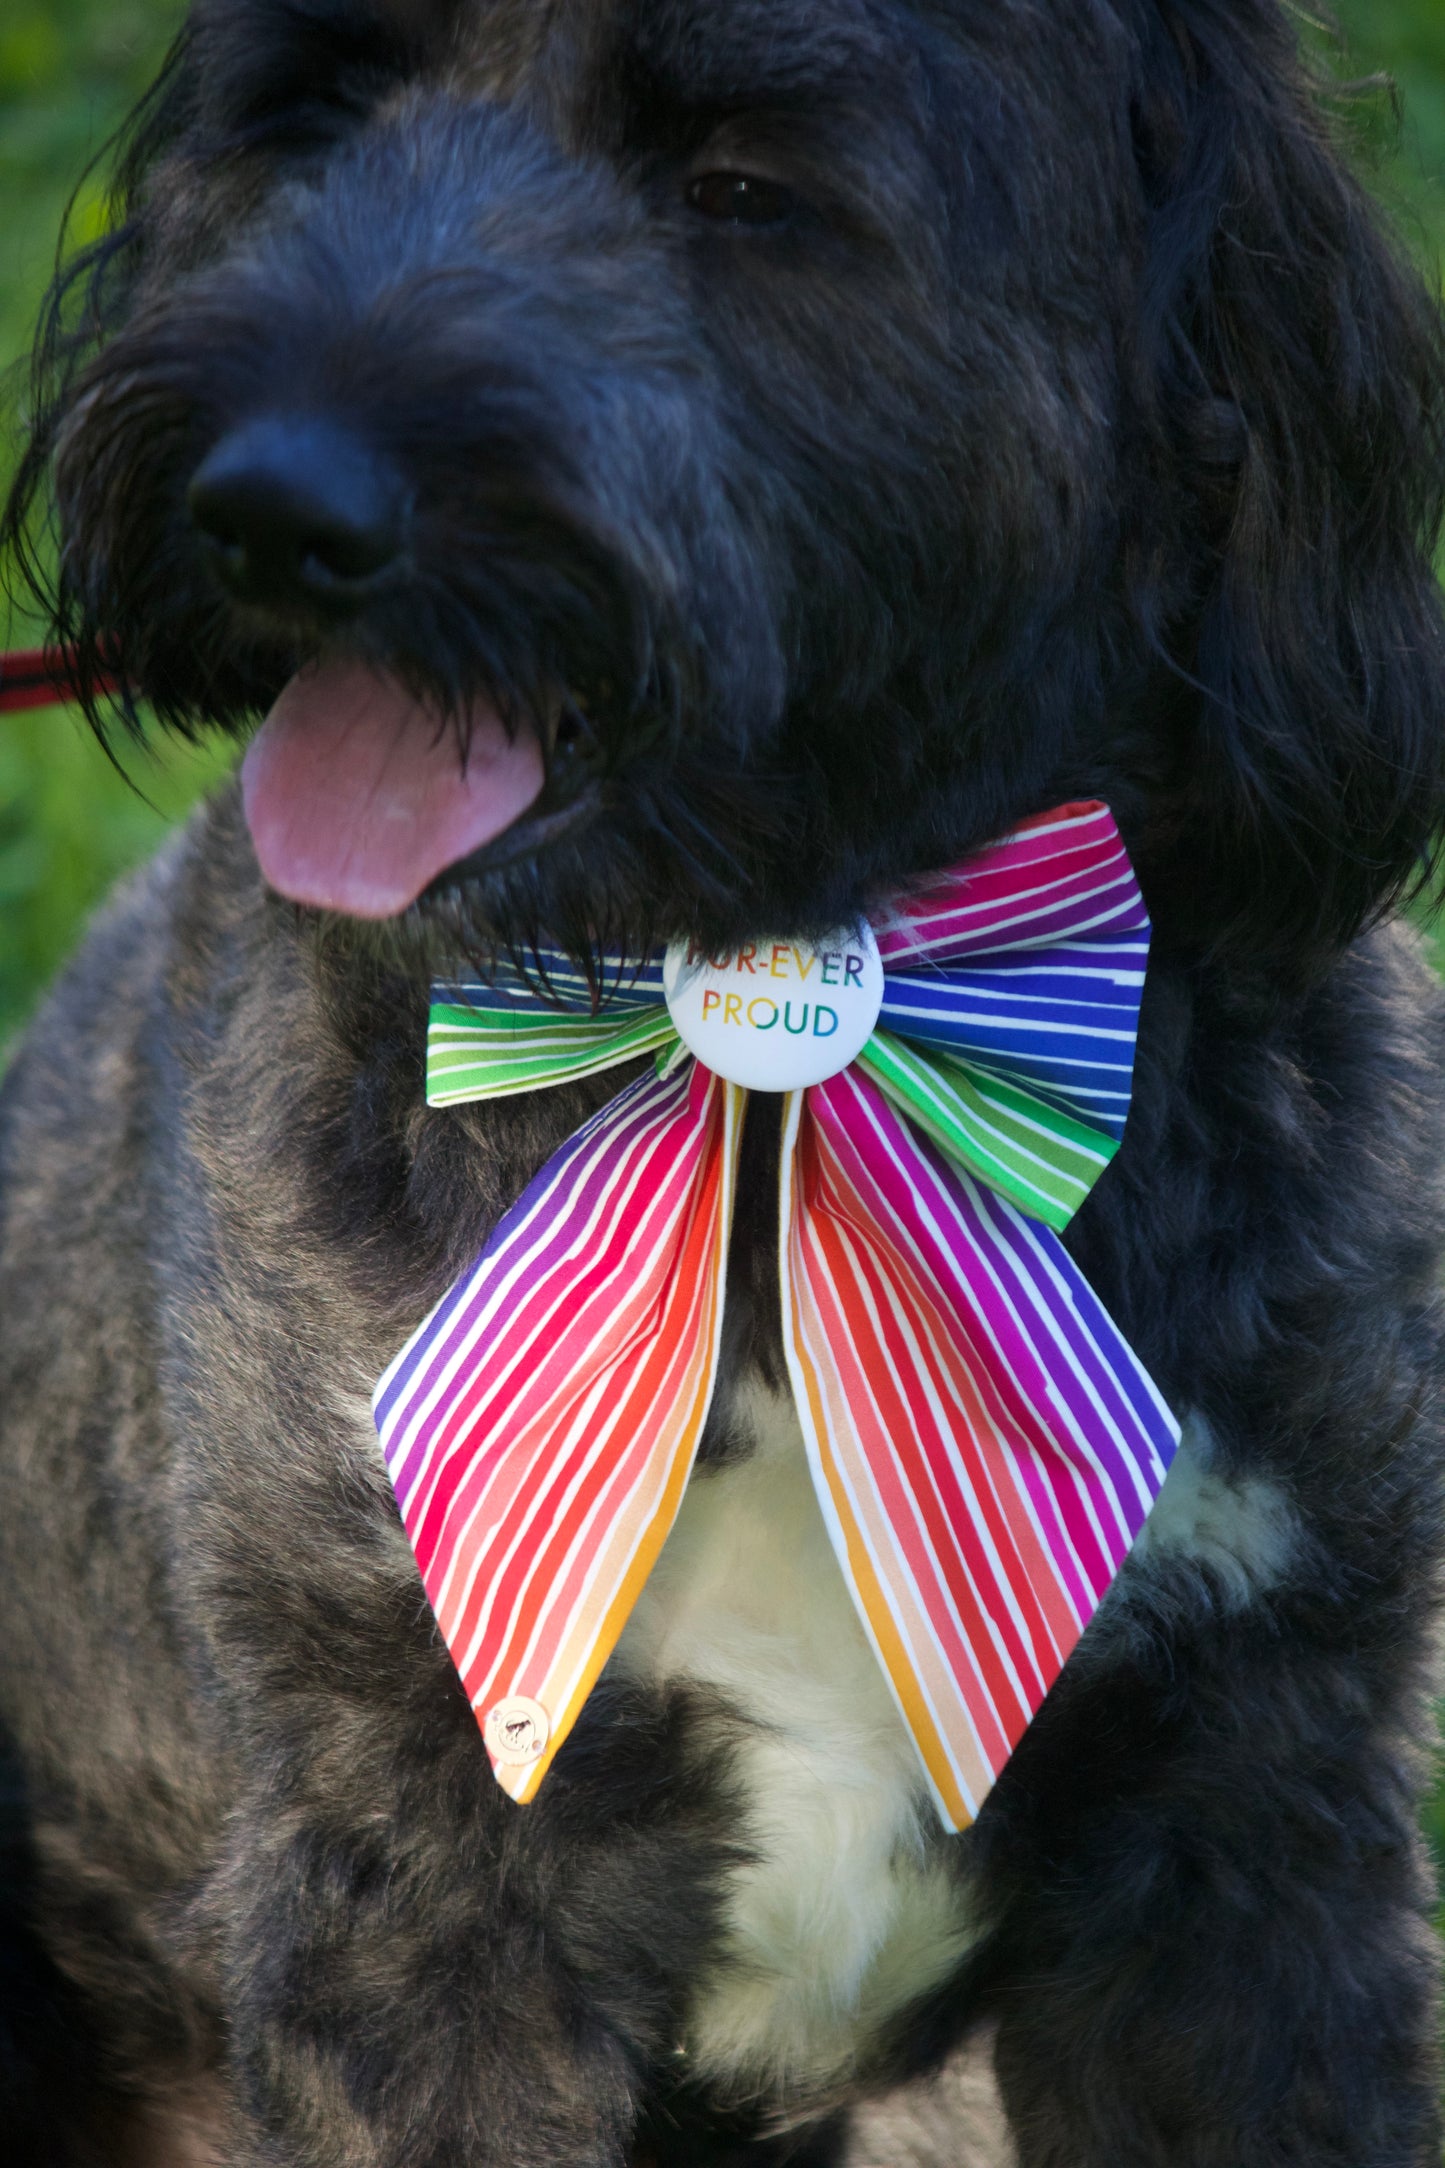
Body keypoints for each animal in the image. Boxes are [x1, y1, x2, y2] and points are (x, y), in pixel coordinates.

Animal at [2, 0, 1445, 2159]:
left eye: (743, 186)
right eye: (321, 108)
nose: (268, 504)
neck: (768, 1077)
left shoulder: (1249, 1830)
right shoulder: (418, 1867)